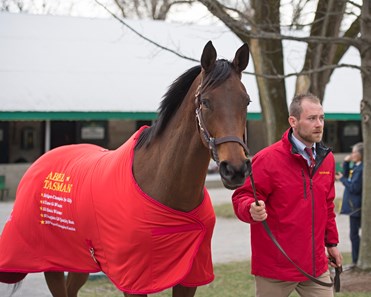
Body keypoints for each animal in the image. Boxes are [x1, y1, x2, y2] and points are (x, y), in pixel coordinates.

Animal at [0, 40, 253, 296]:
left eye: (246, 101)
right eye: (205, 101)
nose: (235, 169)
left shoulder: (190, 277)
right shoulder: (134, 280)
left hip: (80, 261)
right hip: (53, 262)